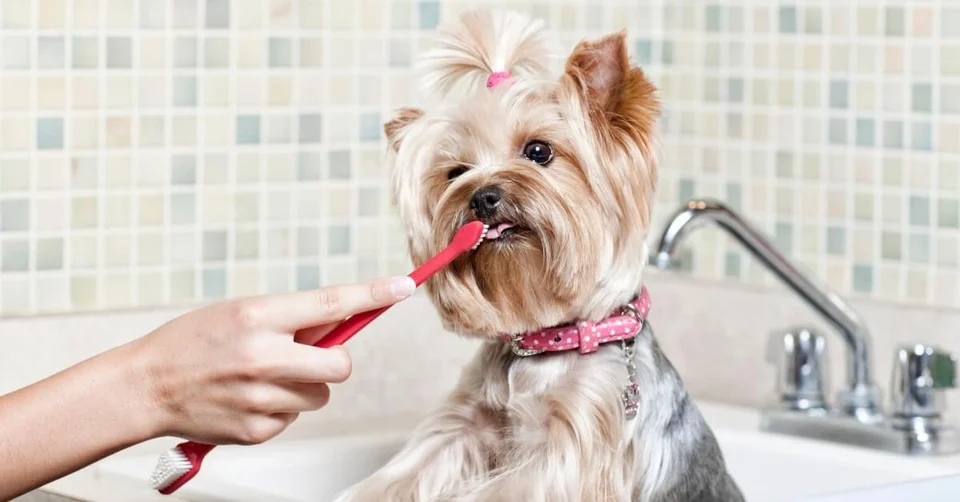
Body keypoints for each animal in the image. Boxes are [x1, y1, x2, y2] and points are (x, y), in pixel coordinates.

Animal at [338, 10, 744, 502]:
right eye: (456, 172)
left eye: (538, 151)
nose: (482, 197)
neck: (547, 343)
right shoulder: (466, 423)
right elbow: (407, 472)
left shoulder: (576, 441)